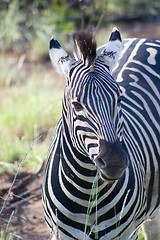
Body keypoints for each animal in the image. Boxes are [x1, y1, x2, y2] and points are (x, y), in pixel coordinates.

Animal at [42, 27, 160, 239]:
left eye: (120, 99)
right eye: (76, 105)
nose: (114, 162)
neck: (88, 191)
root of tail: (142, 39)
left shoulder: (126, 233)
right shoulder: (58, 234)